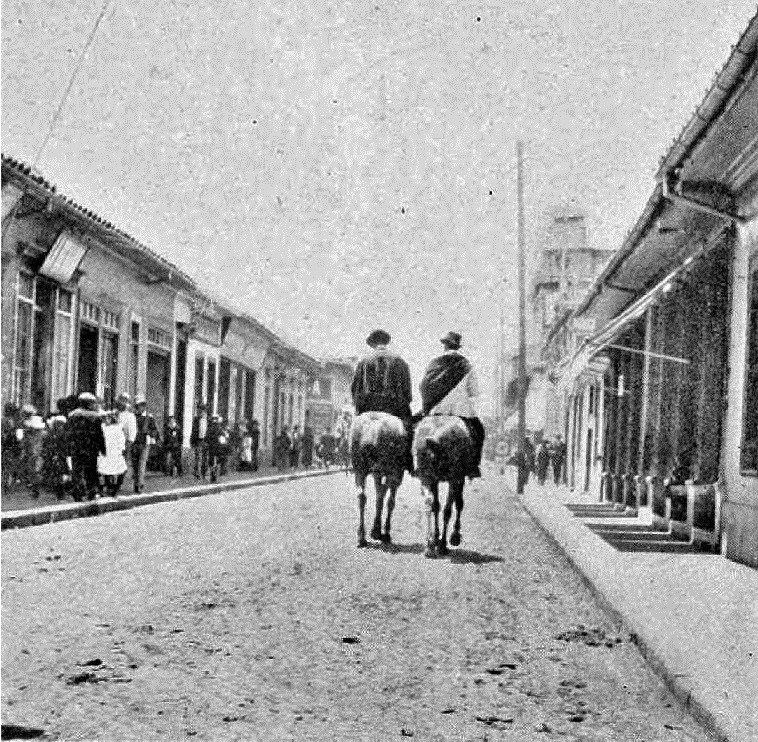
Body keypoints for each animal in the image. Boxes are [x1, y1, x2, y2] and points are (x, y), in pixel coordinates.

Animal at [352, 410, 410, 548]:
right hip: (391, 470)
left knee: (362, 496)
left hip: (359, 468)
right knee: (385, 496)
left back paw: (361, 537)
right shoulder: (395, 474)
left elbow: (380, 495)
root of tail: (373, 428)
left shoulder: (377, 473)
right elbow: (389, 501)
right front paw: (383, 532)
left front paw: (376, 530)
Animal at [416, 418, 476, 560]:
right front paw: (453, 537)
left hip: (426, 477)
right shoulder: (457, 477)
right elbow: (457, 504)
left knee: (429, 504)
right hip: (452, 477)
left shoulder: (434, 479)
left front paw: (435, 539)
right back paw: (443, 544)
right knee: (448, 509)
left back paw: (430, 546)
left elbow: (436, 506)